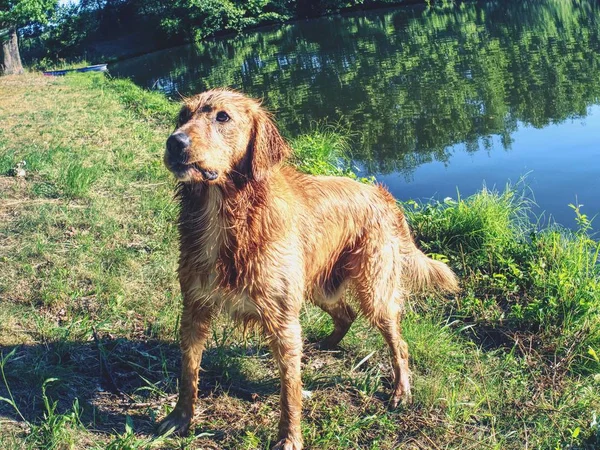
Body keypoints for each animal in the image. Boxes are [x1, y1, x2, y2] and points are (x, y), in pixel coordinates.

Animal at [157, 88, 458, 446]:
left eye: (223, 117)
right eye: (182, 115)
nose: (175, 142)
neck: (228, 216)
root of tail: (381, 194)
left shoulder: (283, 320)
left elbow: (291, 390)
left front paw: (290, 438)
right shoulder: (194, 307)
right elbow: (188, 371)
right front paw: (179, 417)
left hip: (375, 292)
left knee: (399, 343)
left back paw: (401, 390)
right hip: (319, 287)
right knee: (346, 314)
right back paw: (324, 345)